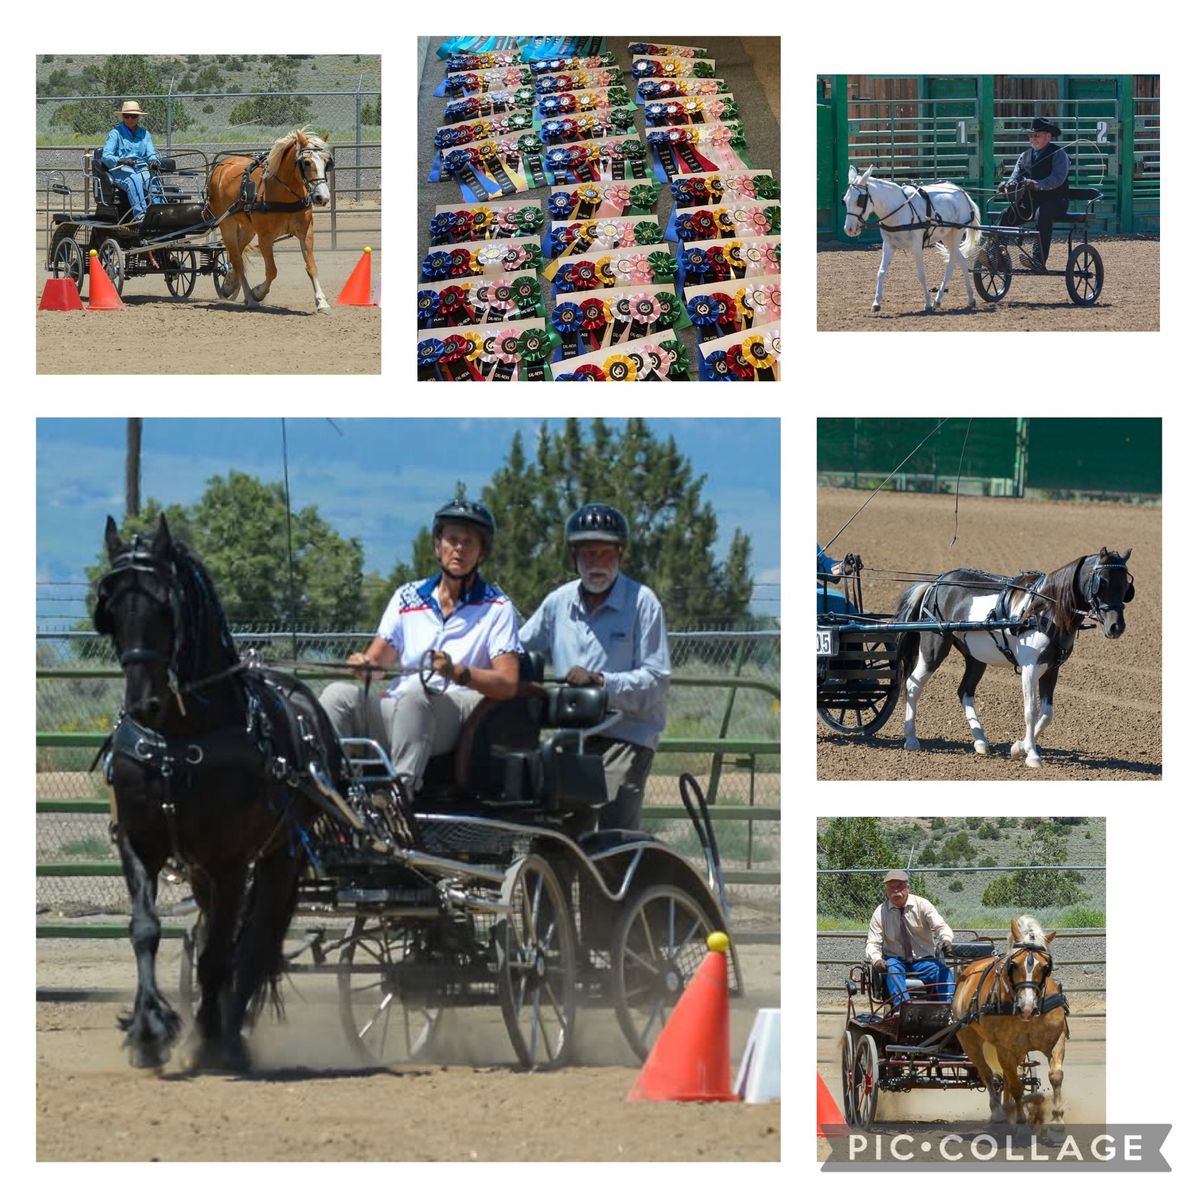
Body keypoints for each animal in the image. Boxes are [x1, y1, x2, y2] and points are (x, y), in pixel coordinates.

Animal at [93, 513, 350, 1070]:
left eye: (164, 607)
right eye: (112, 608)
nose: (142, 704)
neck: (177, 739)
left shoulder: (233, 860)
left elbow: (219, 956)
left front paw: (212, 1041)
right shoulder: (139, 842)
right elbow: (145, 929)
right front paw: (148, 1031)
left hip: (278, 860)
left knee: (252, 942)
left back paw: (229, 1034)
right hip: (201, 870)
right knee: (221, 931)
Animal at [208, 127, 336, 314]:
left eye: (327, 162)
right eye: (306, 162)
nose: (323, 197)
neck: (285, 194)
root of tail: (221, 166)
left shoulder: (306, 233)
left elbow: (311, 267)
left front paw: (322, 302)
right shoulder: (265, 238)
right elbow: (272, 271)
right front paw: (258, 292)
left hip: (248, 228)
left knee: (236, 254)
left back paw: (229, 284)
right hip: (227, 224)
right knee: (237, 258)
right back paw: (249, 297)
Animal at [844, 165, 984, 314]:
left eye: (859, 200)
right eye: (845, 200)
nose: (849, 229)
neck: (899, 210)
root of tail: (962, 192)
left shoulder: (917, 247)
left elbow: (921, 274)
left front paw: (927, 303)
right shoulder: (888, 245)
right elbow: (881, 272)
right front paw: (876, 303)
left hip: (956, 233)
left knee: (951, 265)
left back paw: (937, 299)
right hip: (947, 237)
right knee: (962, 261)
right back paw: (970, 298)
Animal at [902, 547, 1132, 768]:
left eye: (1126, 586)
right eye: (1101, 583)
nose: (1116, 627)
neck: (1044, 611)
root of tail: (938, 581)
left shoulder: (1051, 669)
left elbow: (1047, 714)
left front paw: (1019, 747)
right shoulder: (1030, 668)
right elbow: (1031, 710)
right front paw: (1032, 755)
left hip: (976, 657)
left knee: (965, 691)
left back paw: (981, 740)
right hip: (934, 648)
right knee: (913, 685)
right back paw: (911, 738)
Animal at [955, 916, 1070, 1123]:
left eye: (1045, 966)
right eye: (1014, 964)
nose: (1027, 1007)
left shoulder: (1057, 1039)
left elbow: (1056, 1075)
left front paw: (1057, 1119)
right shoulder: (1003, 1048)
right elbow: (1016, 1085)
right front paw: (1021, 1120)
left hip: (1017, 1051)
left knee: (1007, 1077)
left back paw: (1009, 1107)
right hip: (969, 1042)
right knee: (987, 1074)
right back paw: (999, 1112)